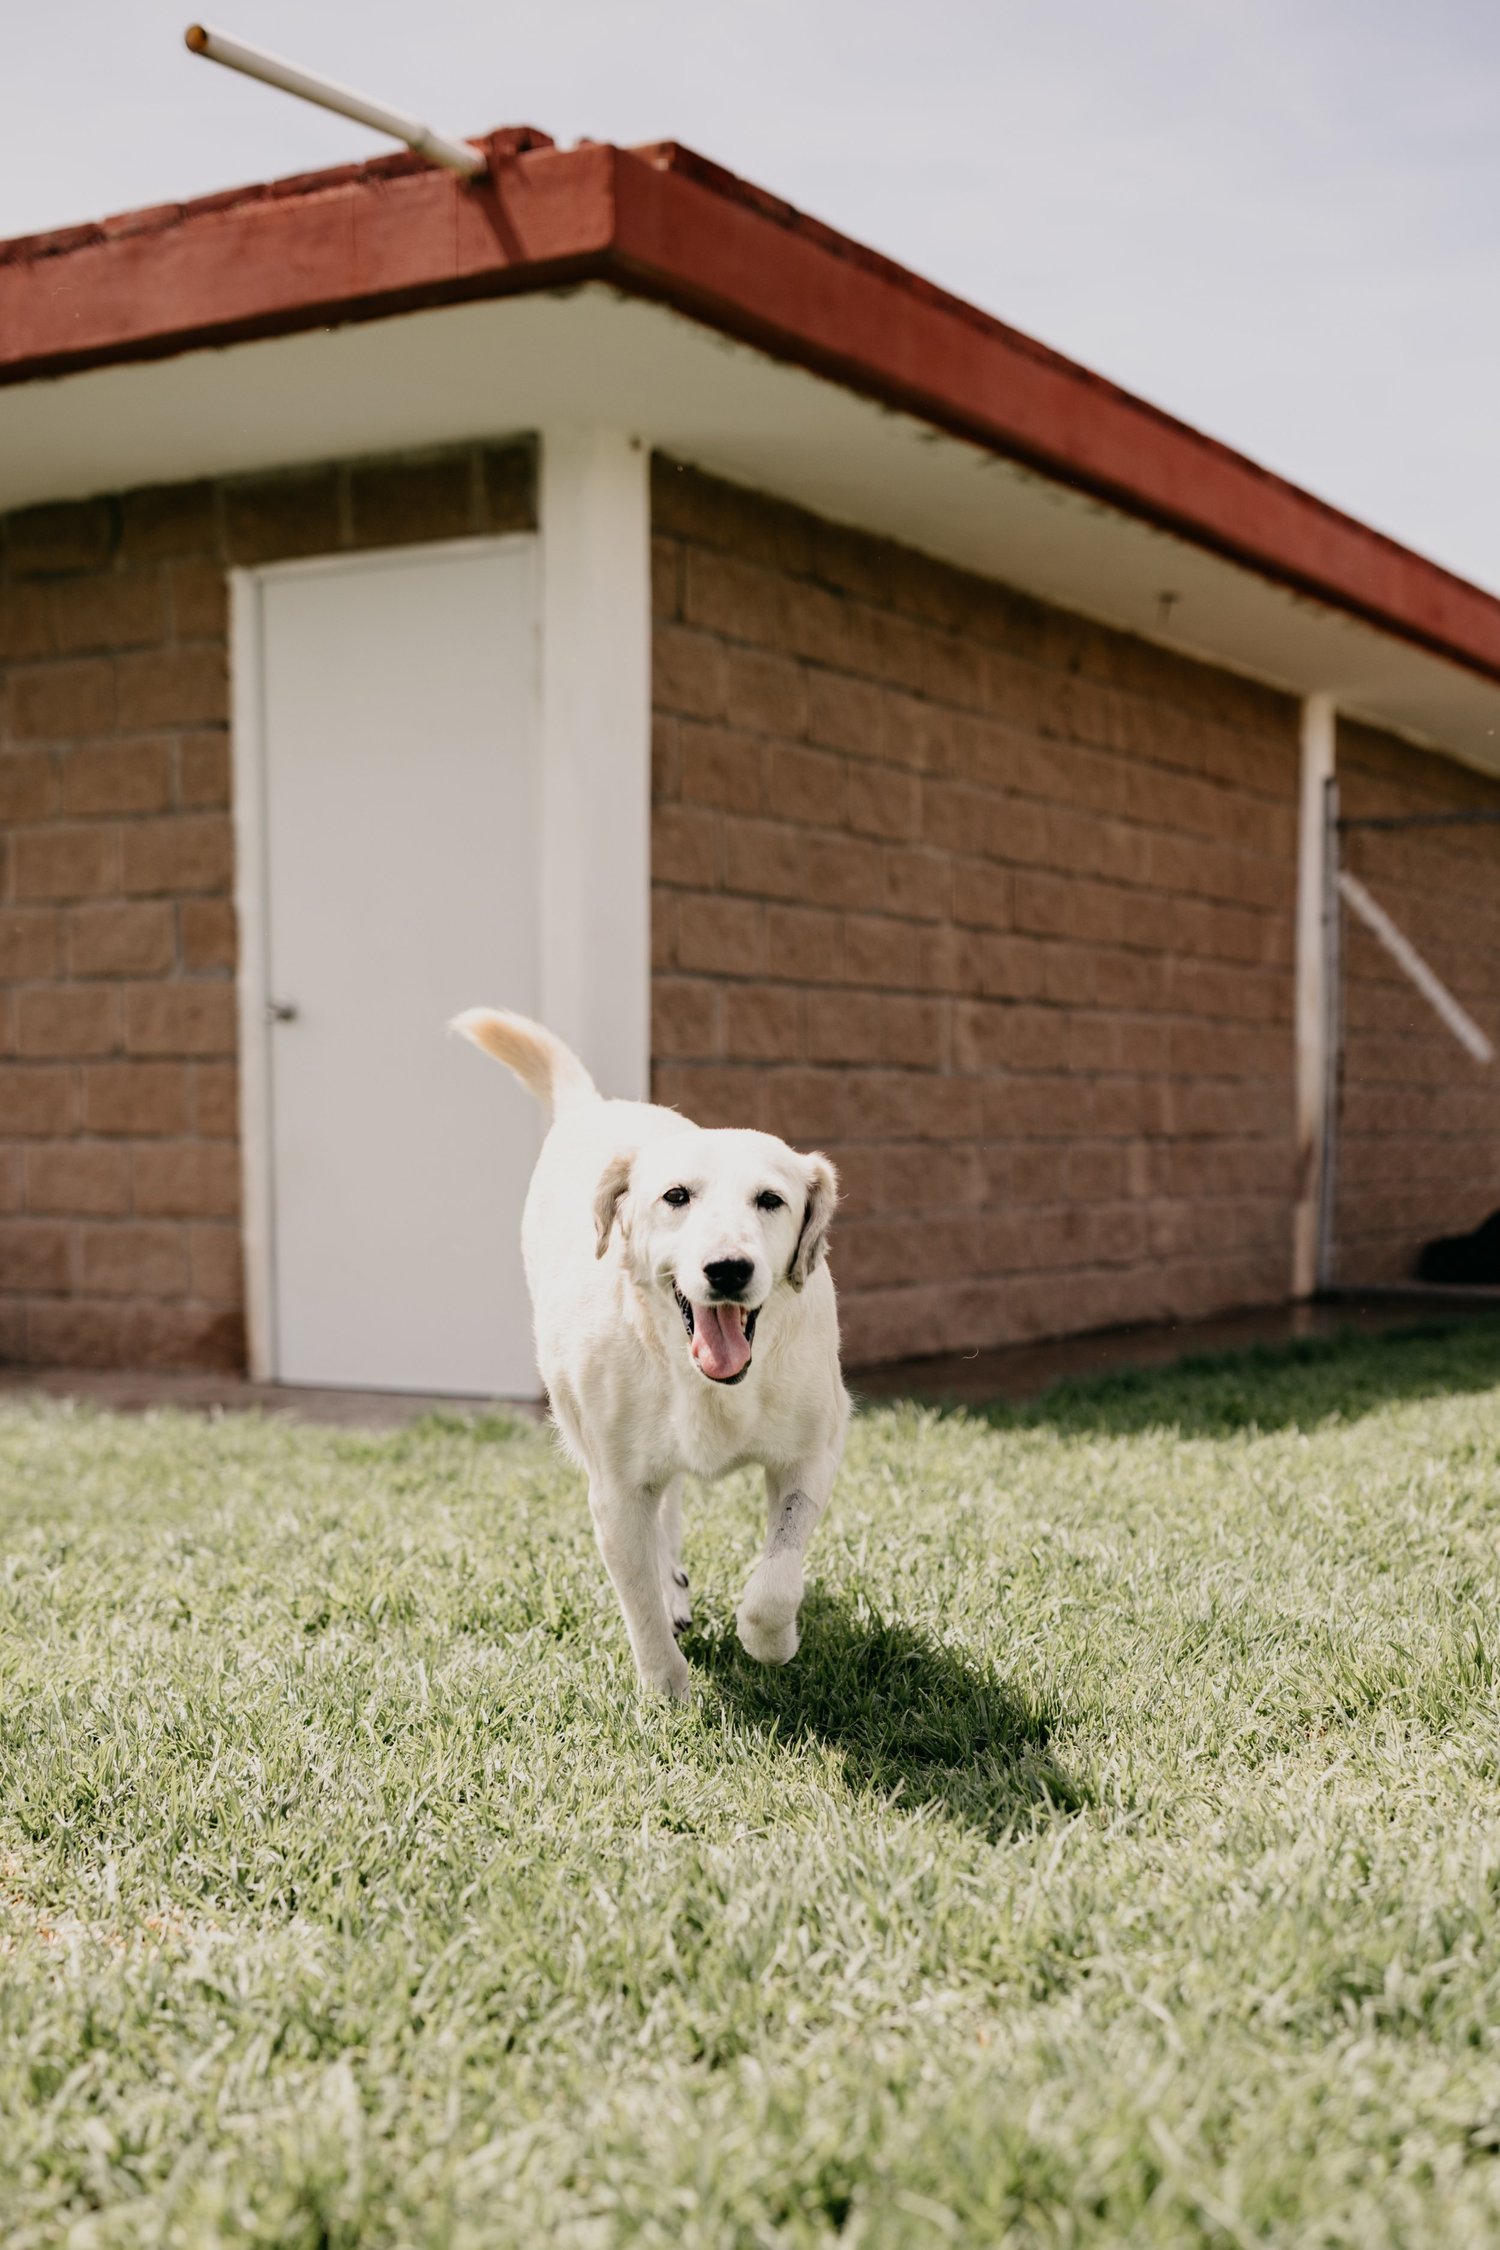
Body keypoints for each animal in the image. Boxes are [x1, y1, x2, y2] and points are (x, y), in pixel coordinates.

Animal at [452, 1008, 850, 1700]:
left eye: (771, 1200)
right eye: (677, 1196)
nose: (727, 1268)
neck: (710, 1384)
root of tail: (596, 1106)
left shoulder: (812, 1453)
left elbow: (778, 1575)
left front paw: (770, 1641)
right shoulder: (613, 1491)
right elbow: (638, 1603)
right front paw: (670, 1694)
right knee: (659, 1518)